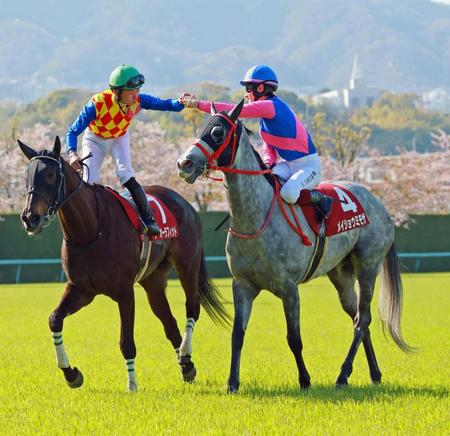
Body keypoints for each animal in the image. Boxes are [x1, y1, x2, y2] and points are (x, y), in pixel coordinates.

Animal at [17, 136, 229, 392]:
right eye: (27, 175)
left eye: (50, 175)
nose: (30, 218)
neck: (90, 230)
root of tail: (184, 202)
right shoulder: (81, 289)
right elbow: (54, 320)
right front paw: (71, 373)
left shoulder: (125, 291)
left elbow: (126, 341)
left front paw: (132, 385)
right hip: (153, 280)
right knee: (169, 322)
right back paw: (186, 365)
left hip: (187, 265)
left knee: (192, 308)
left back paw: (186, 353)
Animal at [177, 100, 414, 394]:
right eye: (201, 128)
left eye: (218, 132)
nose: (184, 163)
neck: (255, 218)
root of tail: (381, 205)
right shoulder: (242, 285)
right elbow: (237, 335)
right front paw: (232, 382)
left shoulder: (289, 288)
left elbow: (294, 338)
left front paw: (304, 379)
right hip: (341, 274)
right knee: (359, 318)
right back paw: (374, 373)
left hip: (368, 268)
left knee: (363, 321)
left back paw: (343, 374)